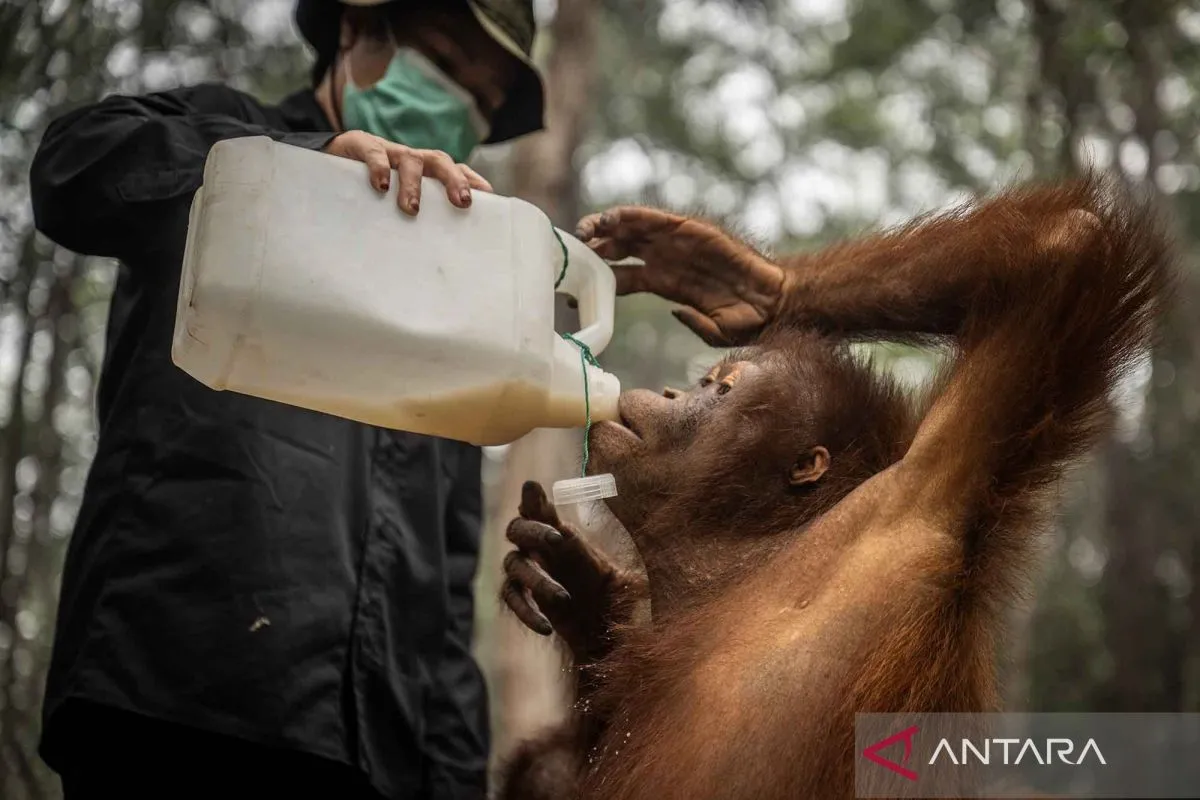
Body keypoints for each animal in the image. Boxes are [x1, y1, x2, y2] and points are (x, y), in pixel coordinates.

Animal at [494, 174, 1173, 800]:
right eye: (703, 384)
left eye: (721, 389)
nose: (671, 392)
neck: (731, 565)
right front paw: (740, 280)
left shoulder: (909, 512)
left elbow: (1066, 247)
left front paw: (733, 273)